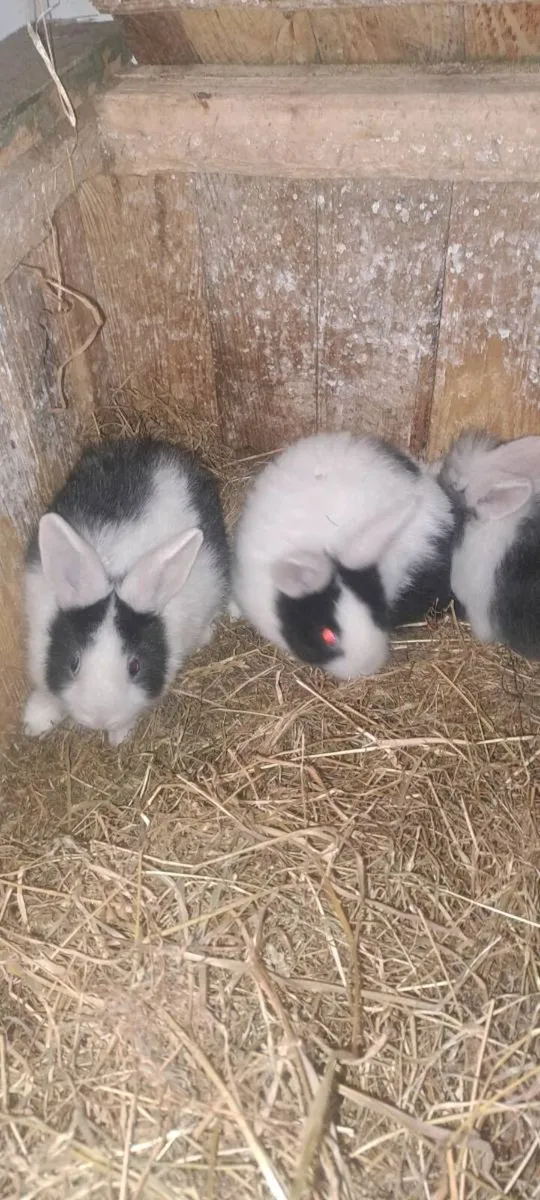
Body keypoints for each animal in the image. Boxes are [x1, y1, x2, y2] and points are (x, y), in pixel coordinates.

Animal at [23, 437, 229, 745]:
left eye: (134, 667)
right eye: (74, 663)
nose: (99, 718)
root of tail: (164, 454)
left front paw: (119, 737)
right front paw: (34, 722)